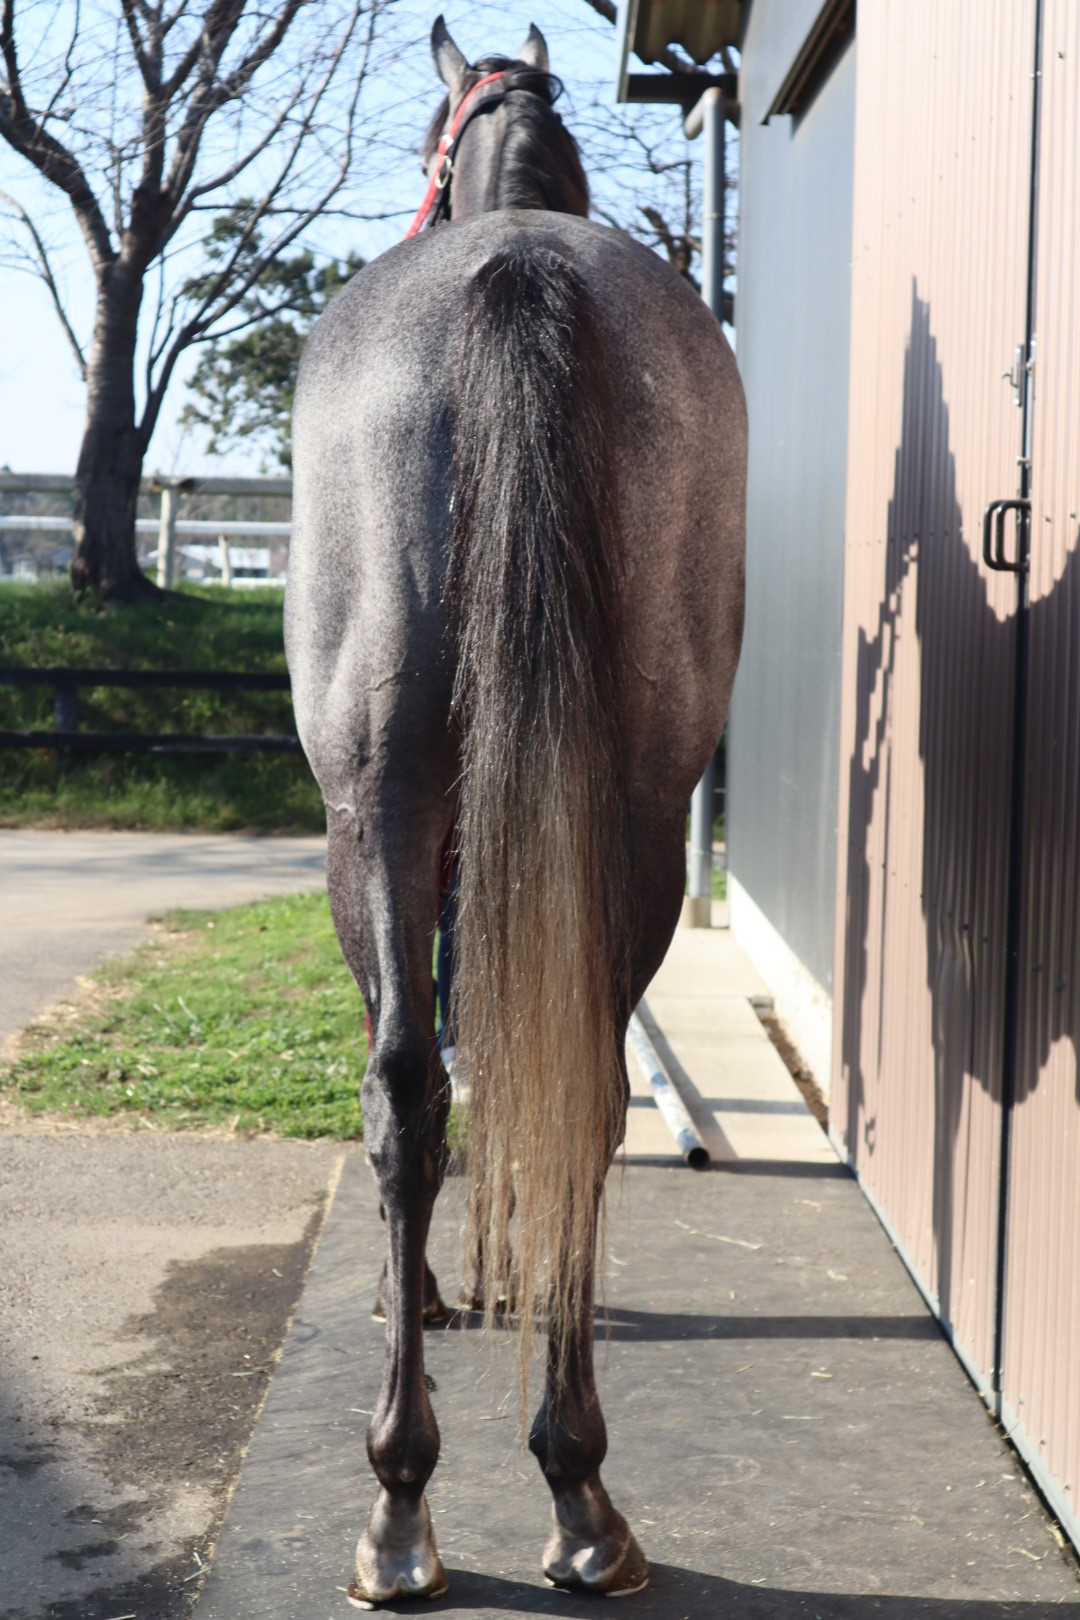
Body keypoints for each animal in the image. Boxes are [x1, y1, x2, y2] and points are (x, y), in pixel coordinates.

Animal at [285, 17, 746, 1606]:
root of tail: (516, 273)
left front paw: (421, 1287)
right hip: (636, 810)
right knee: (585, 1092)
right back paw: (575, 1488)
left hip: (377, 805)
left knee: (403, 1093)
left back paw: (405, 1506)